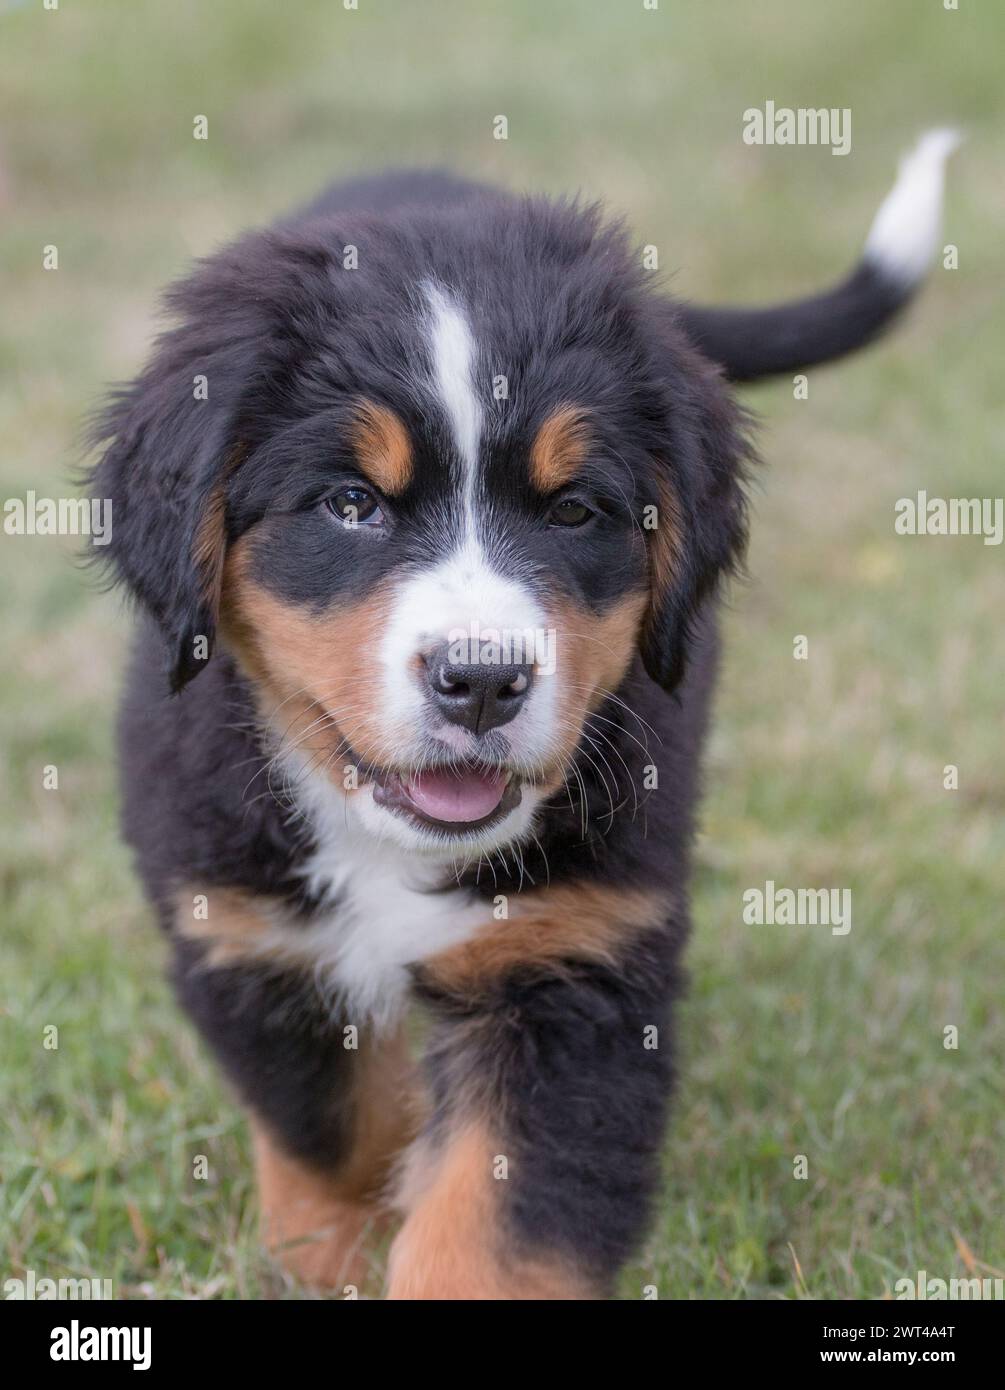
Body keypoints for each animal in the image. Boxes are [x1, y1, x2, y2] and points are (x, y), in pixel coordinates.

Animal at [88, 132, 961, 1301]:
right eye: (350, 504)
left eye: (574, 510)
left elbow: (495, 1220)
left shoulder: (574, 959)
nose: (482, 680)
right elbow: (332, 1126)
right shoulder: (249, 930)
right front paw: (331, 1253)